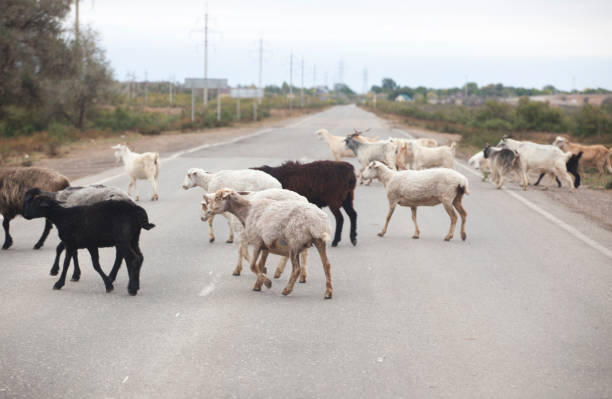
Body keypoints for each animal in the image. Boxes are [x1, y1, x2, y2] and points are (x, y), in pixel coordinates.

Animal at [21, 189, 155, 296]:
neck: (62, 217)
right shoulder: (89, 245)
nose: (25, 215)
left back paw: (131, 288)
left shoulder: (70, 243)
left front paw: (59, 283)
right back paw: (134, 285)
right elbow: (95, 264)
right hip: (133, 238)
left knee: (132, 259)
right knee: (139, 257)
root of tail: (139, 214)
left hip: (123, 239)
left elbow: (66, 264)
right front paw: (107, 284)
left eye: (35, 204)